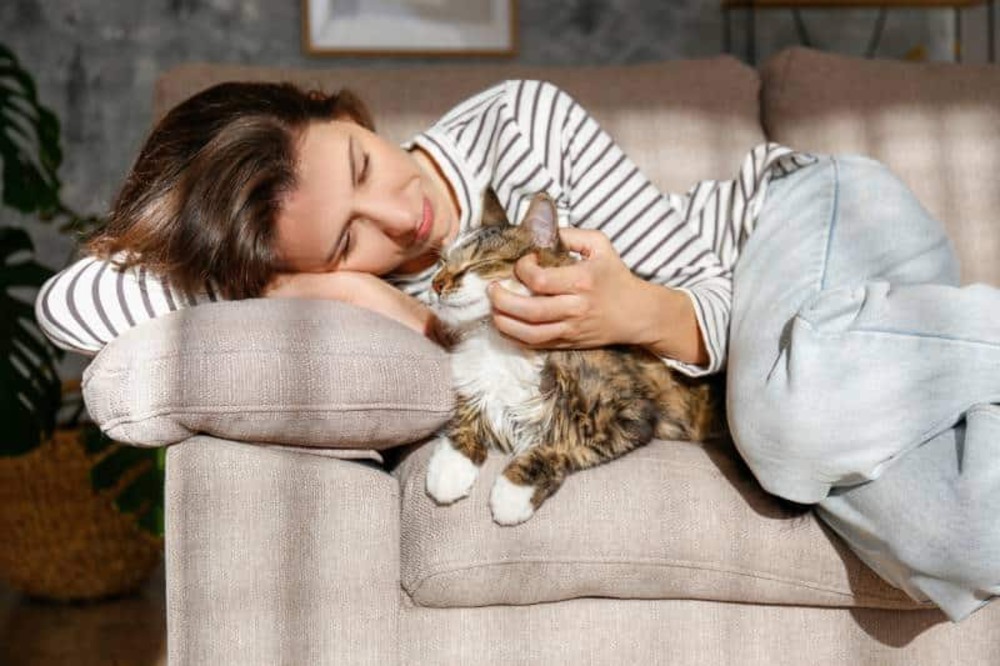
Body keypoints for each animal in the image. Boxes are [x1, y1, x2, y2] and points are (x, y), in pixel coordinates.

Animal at [424, 191, 728, 524]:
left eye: (481, 263)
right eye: (442, 262)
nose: (435, 284)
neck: (498, 340)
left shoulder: (630, 417)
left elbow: (562, 445)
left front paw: (513, 492)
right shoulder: (477, 390)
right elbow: (465, 423)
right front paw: (448, 472)